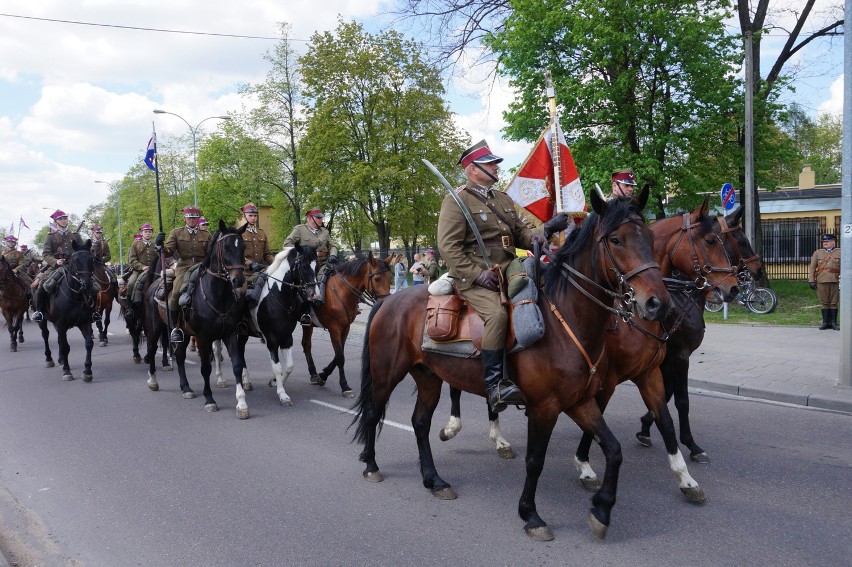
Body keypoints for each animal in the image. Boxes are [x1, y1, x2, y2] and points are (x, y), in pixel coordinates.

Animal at [36, 240, 96, 382]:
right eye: (75, 260)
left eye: (92, 259)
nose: (87, 284)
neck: (76, 297)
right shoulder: (61, 324)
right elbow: (64, 347)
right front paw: (67, 372)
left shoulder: (85, 322)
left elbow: (89, 343)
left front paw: (87, 371)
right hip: (43, 321)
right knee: (46, 335)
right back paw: (49, 359)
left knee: (58, 339)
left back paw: (62, 361)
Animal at [302, 255, 392, 398]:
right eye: (377, 279)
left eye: (390, 277)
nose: (386, 302)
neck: (340, 292)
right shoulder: (334, 329)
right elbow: (340, 357)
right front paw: (344, 386)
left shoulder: (345, 328)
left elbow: (339, 354)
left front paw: (323, 375)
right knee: (305, 345)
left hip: (309, 325)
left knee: (306, 345)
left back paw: (314, 374)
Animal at [352, 187, 672, 540]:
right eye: (616, 240)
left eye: (649, 237)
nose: (657, 303)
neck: (564, 319)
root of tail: (388, 300)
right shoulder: (545, 407)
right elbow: (535, 460)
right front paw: (531, 514)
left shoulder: (580, 401)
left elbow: (614, 450)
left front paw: (601, 510)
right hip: (387, 374)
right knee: (372, 411)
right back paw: (371, 464)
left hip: (428, 377)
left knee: (420, 423)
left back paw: (434, 480)